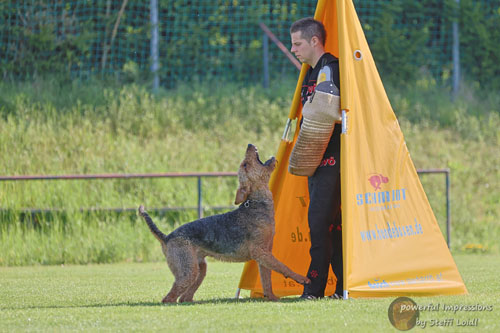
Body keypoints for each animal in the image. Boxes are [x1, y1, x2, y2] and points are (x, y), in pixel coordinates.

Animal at [137, 143, 308, 300]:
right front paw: (302, 278)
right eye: (245, 165)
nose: (249, 145)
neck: (256, 203)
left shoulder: (264, 254)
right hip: (188, 272)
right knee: (169, 298)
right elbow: (283, 266)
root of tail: (166, 237)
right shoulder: (260, 251)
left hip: (200, 269)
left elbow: (267, 281)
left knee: (184, 297)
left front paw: (271, 297)